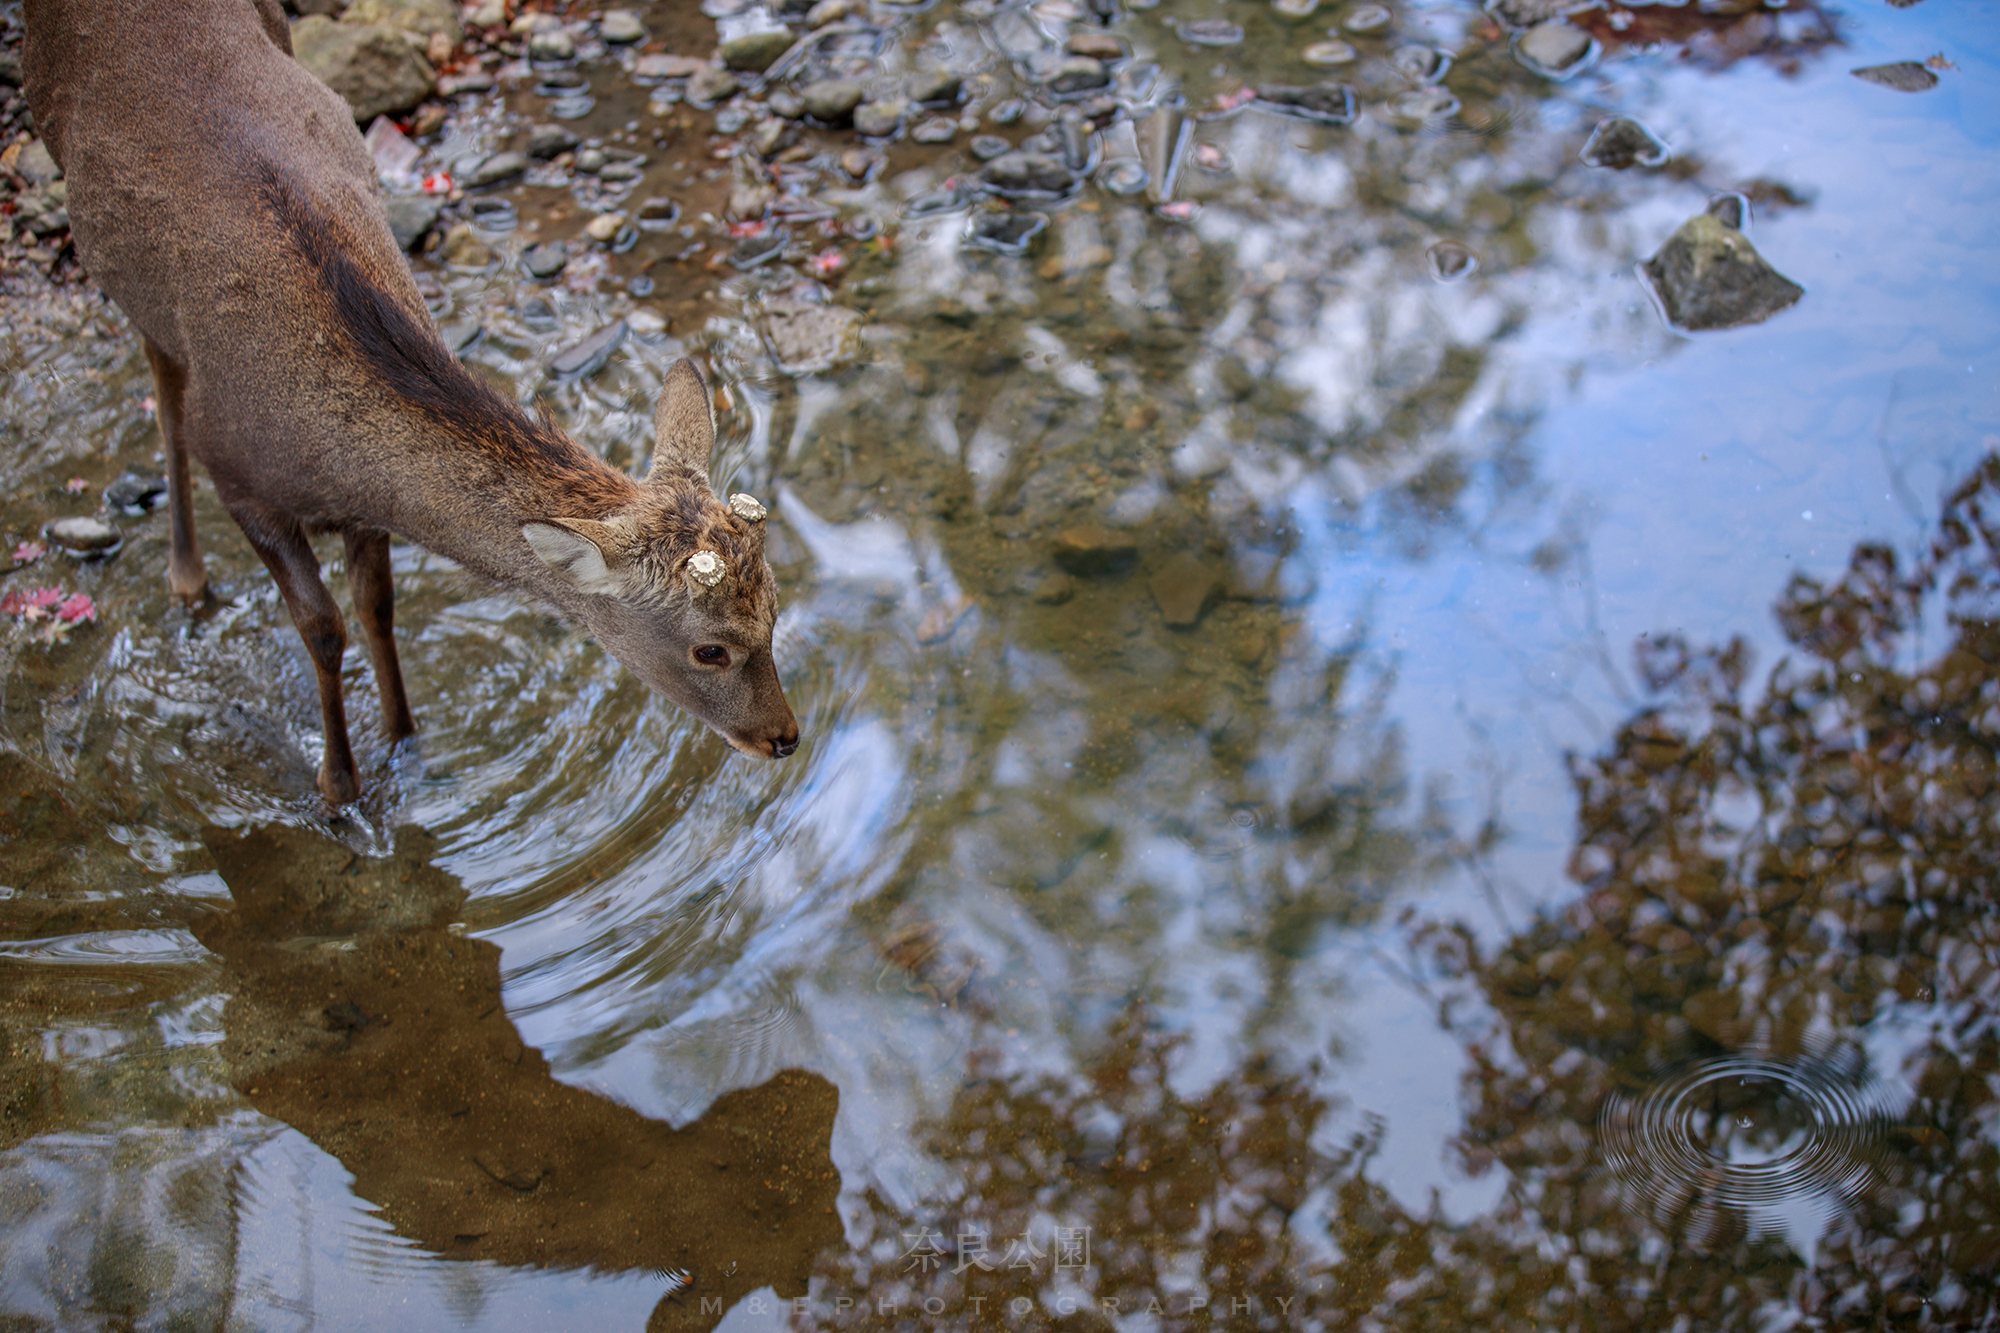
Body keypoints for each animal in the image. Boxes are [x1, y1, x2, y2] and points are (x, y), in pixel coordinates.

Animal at [25, 0, 796, 800]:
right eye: (710, 649)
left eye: (776, 610)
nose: (785, 738)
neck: (330, 461)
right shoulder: (237, 474)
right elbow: (321, 628)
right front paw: (338, 786)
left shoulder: (363, 515)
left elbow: (376, 609)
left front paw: (403, 738)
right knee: (160, 376)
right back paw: (185, 577)